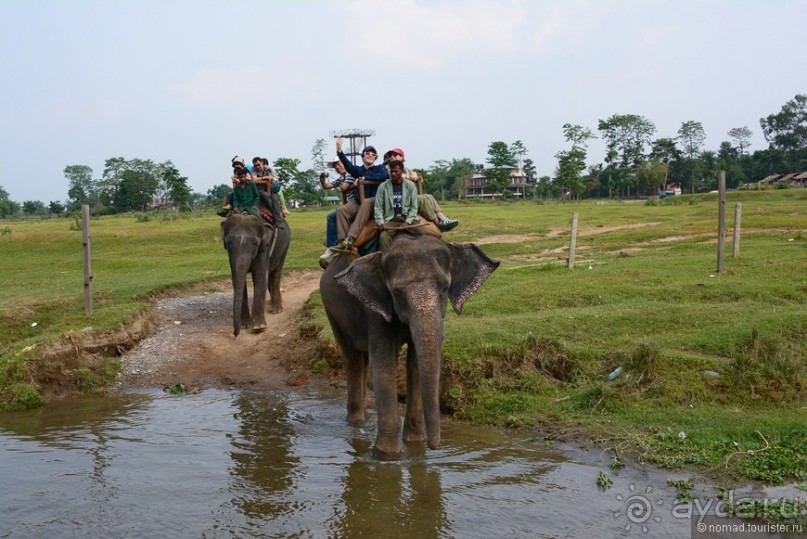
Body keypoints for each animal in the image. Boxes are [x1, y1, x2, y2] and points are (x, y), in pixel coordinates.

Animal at [320, 234, 498, 462]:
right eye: (396, 293)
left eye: (444, 288)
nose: (435, 447)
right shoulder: (377, 311)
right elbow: (384, 365)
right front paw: (386, 457)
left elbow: (414, 365)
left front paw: (415, 445)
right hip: (332, 312)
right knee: (353, 360)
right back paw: (356, 422)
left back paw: (366, 419)